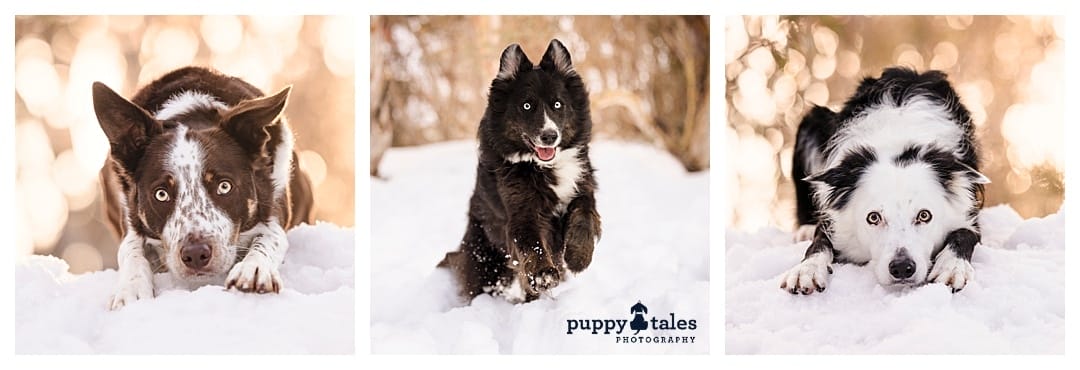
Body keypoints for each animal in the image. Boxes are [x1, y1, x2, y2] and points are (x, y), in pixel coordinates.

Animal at [93, 66, 315, 310]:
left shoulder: (273, 202)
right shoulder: (130, 214)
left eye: (224, 186)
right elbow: (130, 248)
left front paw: (254, 268)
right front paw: (131, 288)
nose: (196, 254)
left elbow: (270, 236)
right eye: (161, 194)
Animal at [440, 39, 609, 302]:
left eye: (558, 104)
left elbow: (584, 216)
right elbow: (532, 244)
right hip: (485, 261)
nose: (549, 136)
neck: (544, 167)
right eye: (527, 106)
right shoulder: (522, 212)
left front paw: (578, 258)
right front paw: (544, 275)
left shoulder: (582, 188)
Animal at [786, 67, 989, 295]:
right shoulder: (834, 222)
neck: (899, 141)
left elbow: (963, 234)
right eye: (873, 218)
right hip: (811, 120)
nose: (902, 268)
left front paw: (953, 267)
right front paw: (807, 269)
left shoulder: (968, 211)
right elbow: (819, 242)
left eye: (924, 215)